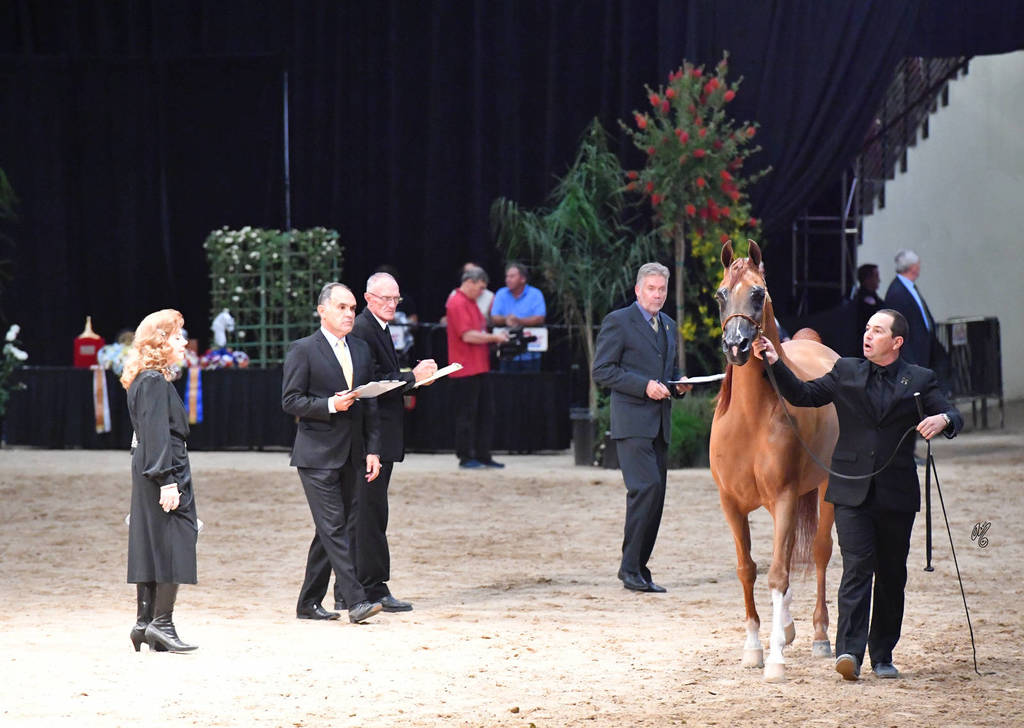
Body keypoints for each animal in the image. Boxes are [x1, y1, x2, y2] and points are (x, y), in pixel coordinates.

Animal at [708, 240, 840, 682]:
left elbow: (779, 571)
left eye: (758, 293)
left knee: (818, 552)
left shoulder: (784, 497)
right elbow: (748, 569)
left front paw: (776, 658)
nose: (736, 345)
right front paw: (753, 648)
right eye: (720, 294)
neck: (750, 418)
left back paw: (819, 636)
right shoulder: (731, 505)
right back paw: (788, 625)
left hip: (824, 491)